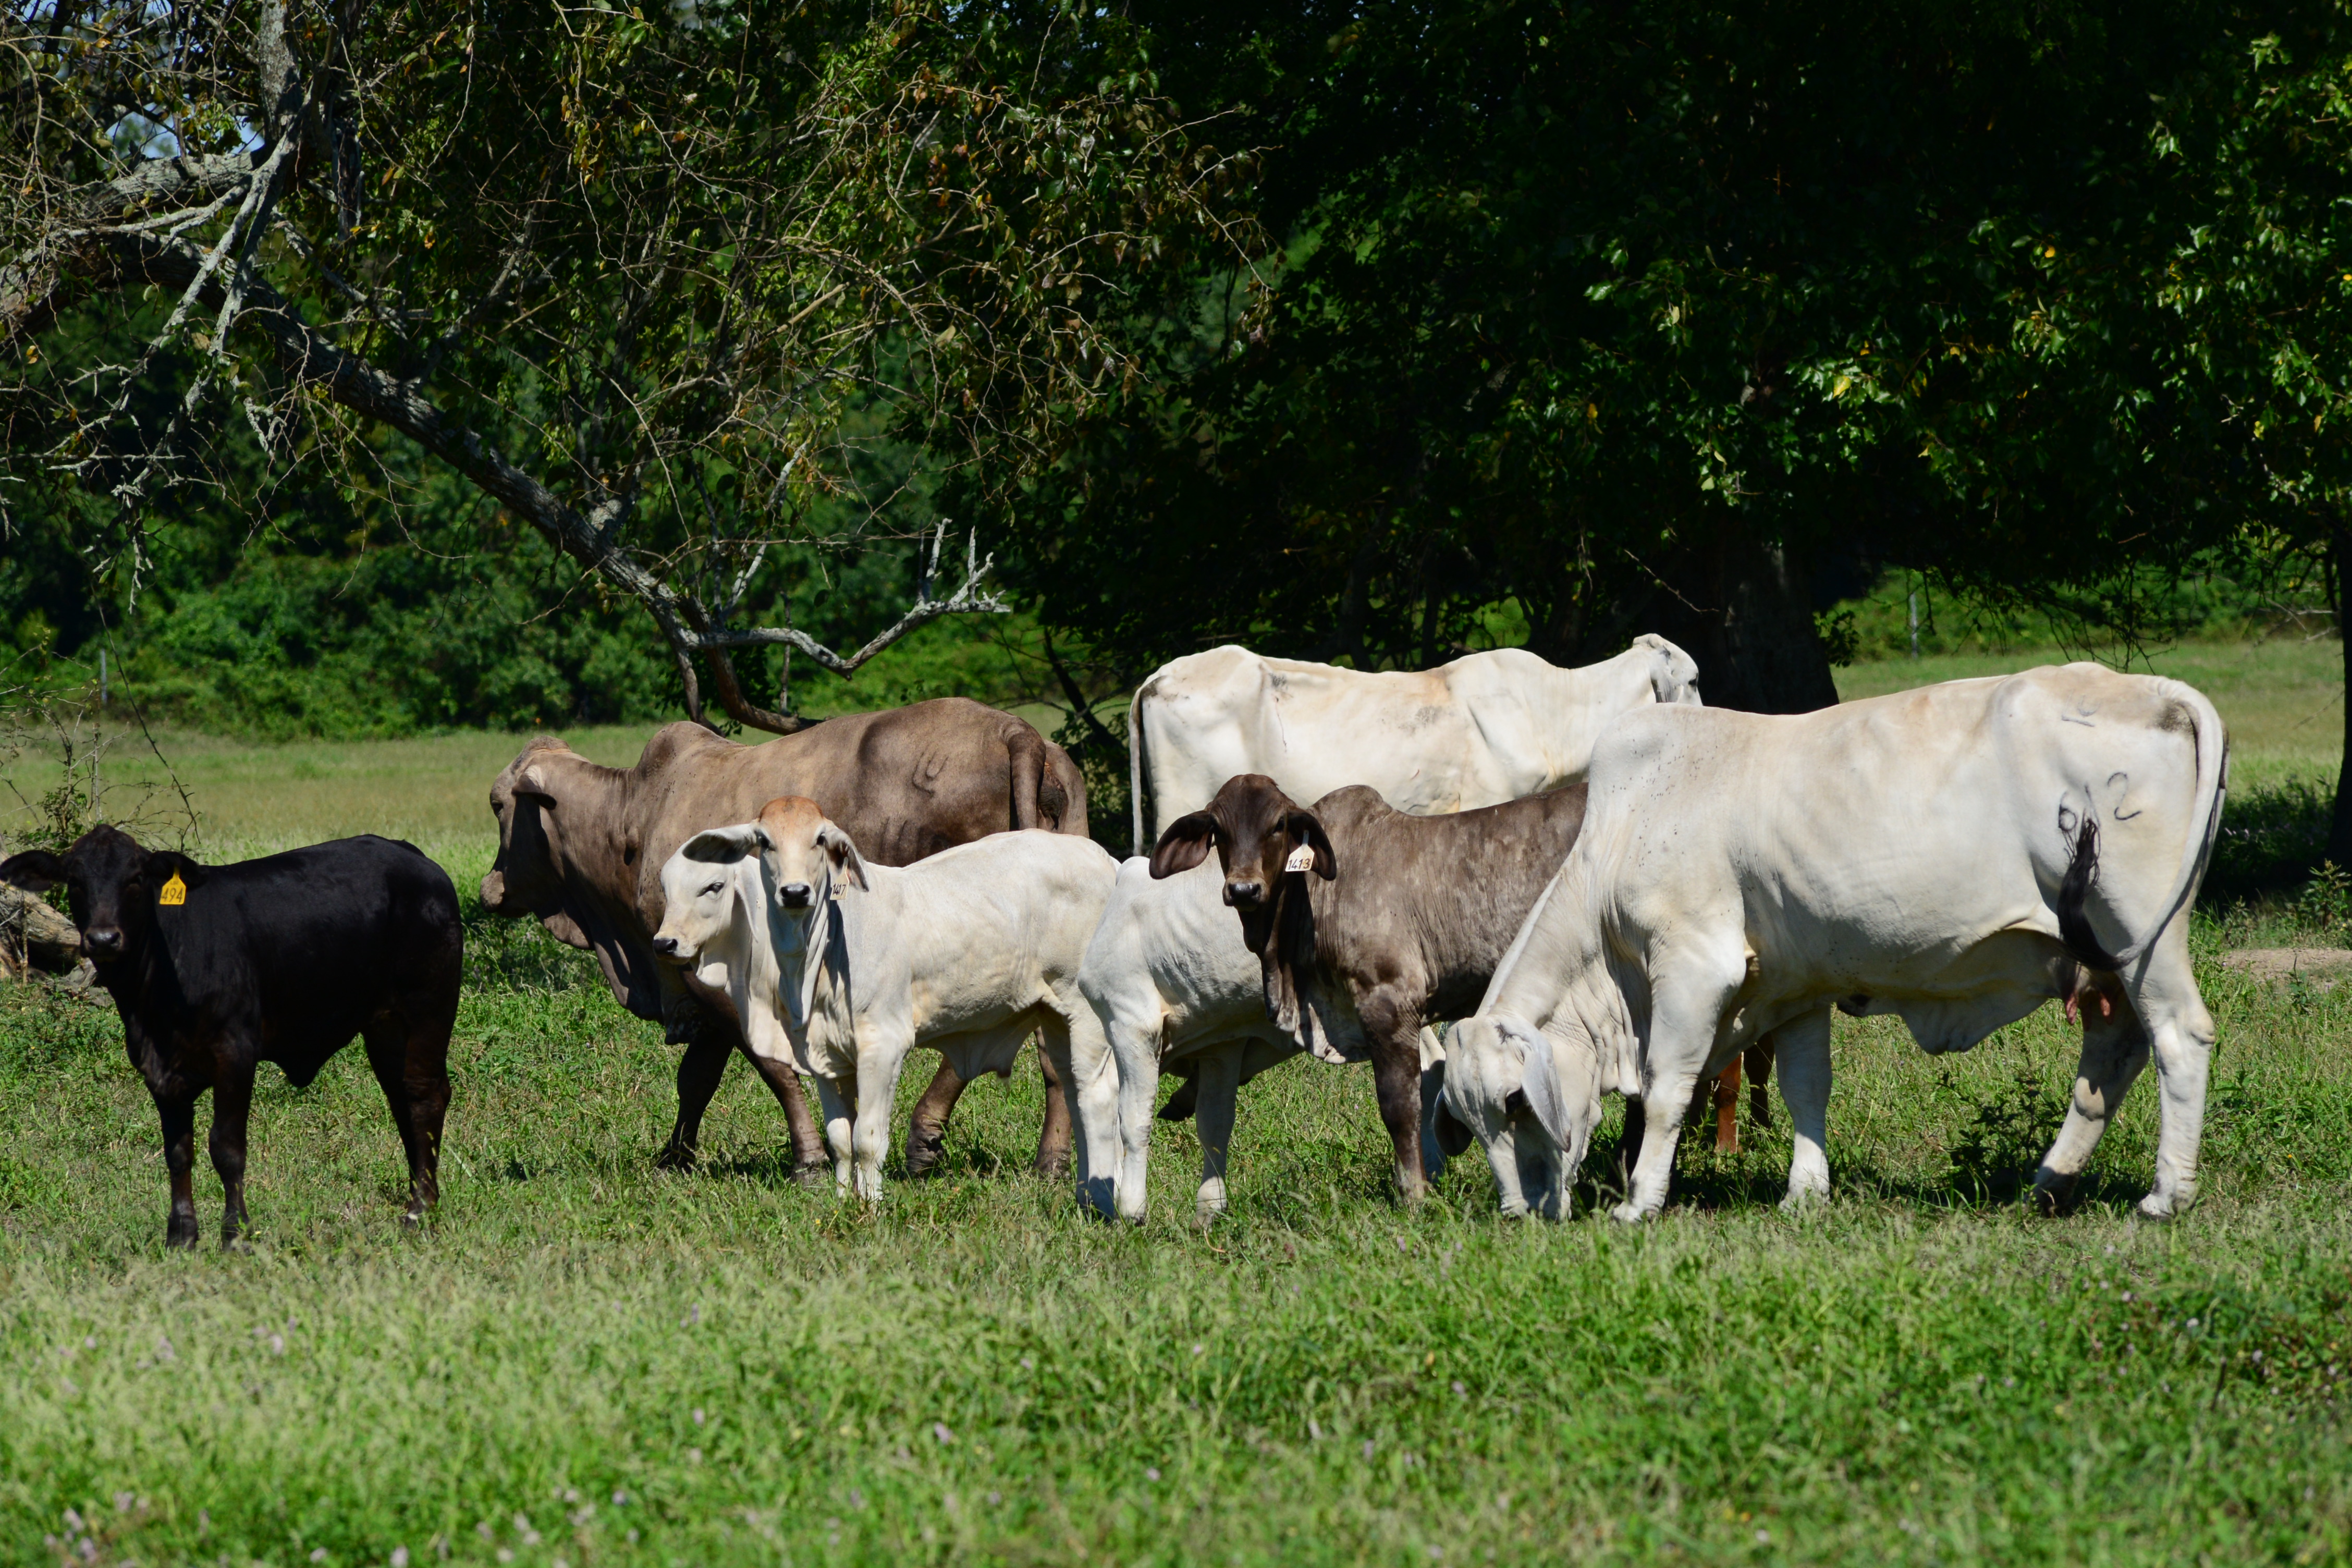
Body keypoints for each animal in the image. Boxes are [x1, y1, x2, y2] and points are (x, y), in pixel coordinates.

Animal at [0, 827, 460, 1249]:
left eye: (135, 878)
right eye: (75, 880)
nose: (103, 939)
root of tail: (416, 859)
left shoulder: (235, 1055)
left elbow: (226, 1148)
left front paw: (235, 1233)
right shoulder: (158, 1069)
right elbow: (178, 1152)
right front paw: (181, 1236)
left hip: (427, 1009)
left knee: (424, 1097)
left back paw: (420, 1210)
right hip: (384, 1027)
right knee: (401, 1102)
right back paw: (420, 1196)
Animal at [478, 700, 1089, 1181]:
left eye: (498, 803)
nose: (489, 889)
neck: (635, 818)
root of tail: (1016, 732)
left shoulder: (717, 981)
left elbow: (767, 1069)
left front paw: (810, 1160)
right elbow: (696, 1078)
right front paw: (674, 1156)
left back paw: (923, 1135)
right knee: (1055, 1048)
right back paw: (1051, 1161)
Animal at [655, 798, 1123, 1204]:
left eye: (713, 886)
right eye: (766, 841)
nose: (795, 893)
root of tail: (1108, 861)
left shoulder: (883, 1046)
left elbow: (867, 1139)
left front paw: (871, 1207)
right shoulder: (825, 1057)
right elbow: (841, 1140)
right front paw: (843, 1203)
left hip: (1088, 1015)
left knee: (1099, 1098)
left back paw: (1101, 1200)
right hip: (1056, 1017)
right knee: (1072, 1092)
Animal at [1148, 774, 1590, 1206]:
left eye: (1278, 824)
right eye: (1218, 830)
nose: (1244, 890)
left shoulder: (1388, 1001)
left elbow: (1399, 1105)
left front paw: (1414, 1194)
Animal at [1438, 665, 2228, 1223]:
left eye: (1516, 1101)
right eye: (1468, 1121)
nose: (1518, 1212)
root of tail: (2149, 689)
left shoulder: (1692, 965)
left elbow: (1667, 1088)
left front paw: (1639, 1203)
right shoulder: (1796, 985)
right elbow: (1805, 1087)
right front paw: (1806, 1192)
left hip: (2138, 931)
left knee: (2179, 1036)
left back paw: (2165, 1196)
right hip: (2102, 963)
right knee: (2114, 1056)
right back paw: (2049, 1185)